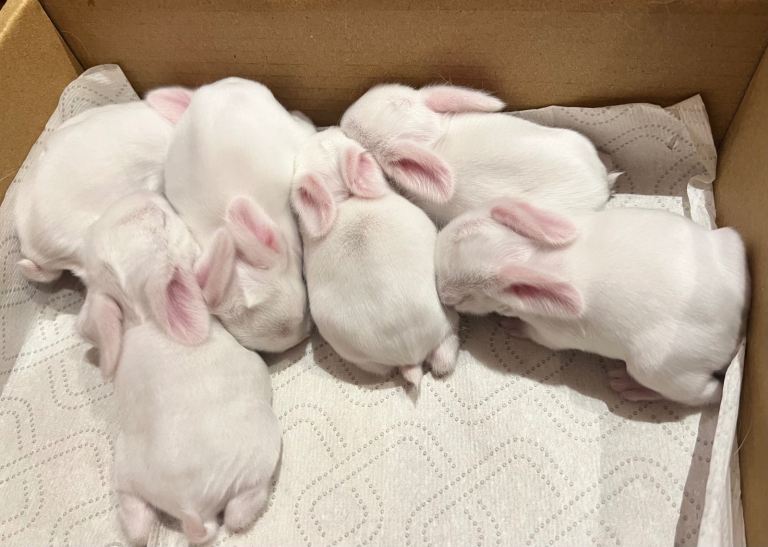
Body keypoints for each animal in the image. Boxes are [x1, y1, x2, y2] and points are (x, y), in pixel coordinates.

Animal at [77, 190, 281, 545]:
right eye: (160, 217)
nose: (148, 192)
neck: (143, 316)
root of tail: (189, 509)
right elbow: (208, 285)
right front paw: (226, 239)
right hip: (263, 451)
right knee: (240, 511)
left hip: (125, 473)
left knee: (136, 522)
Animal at [434, 198, 748, 406]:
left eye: (463, 297)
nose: (441, 292)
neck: (531, 256)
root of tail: (735, 326)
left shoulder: (549, 333)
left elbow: (533, 334)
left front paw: (510, 326)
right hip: (732, 241)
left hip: (659, 369)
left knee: (709, 394)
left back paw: (628, 386)